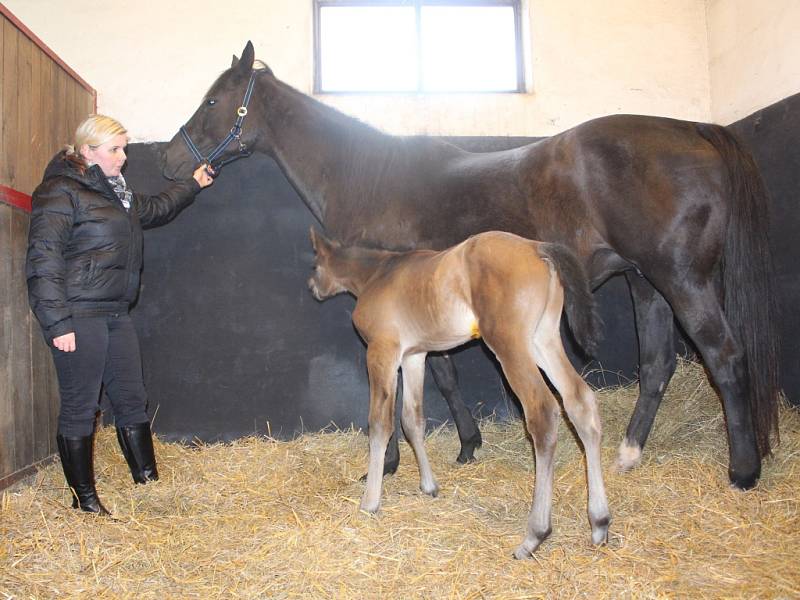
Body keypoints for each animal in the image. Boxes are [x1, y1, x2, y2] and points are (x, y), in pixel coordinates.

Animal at [159, 43, 780, 492]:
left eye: (213, 101)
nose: (167, 159)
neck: (368, 175)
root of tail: (693, 128)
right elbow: (444, 374)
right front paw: (466, 445)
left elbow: (407, 388)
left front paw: (389, 465)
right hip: (645, 284)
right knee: (657, 365)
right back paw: (629, 454)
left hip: (680, 280)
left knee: (724, 357)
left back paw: (743, 472)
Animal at [310, 229, 608, 556]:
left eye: (315, 264)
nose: (312, 287)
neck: (377, 274)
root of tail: (537, 248)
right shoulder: (414, 356)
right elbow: (412, 420)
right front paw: (429, 486)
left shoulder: (381, 352)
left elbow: (380, 424)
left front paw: (370, 501)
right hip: (543, 340)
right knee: (580, 401)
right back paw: (599, 523)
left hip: (509, 344)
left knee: (542, 411)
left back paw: (534, 535)